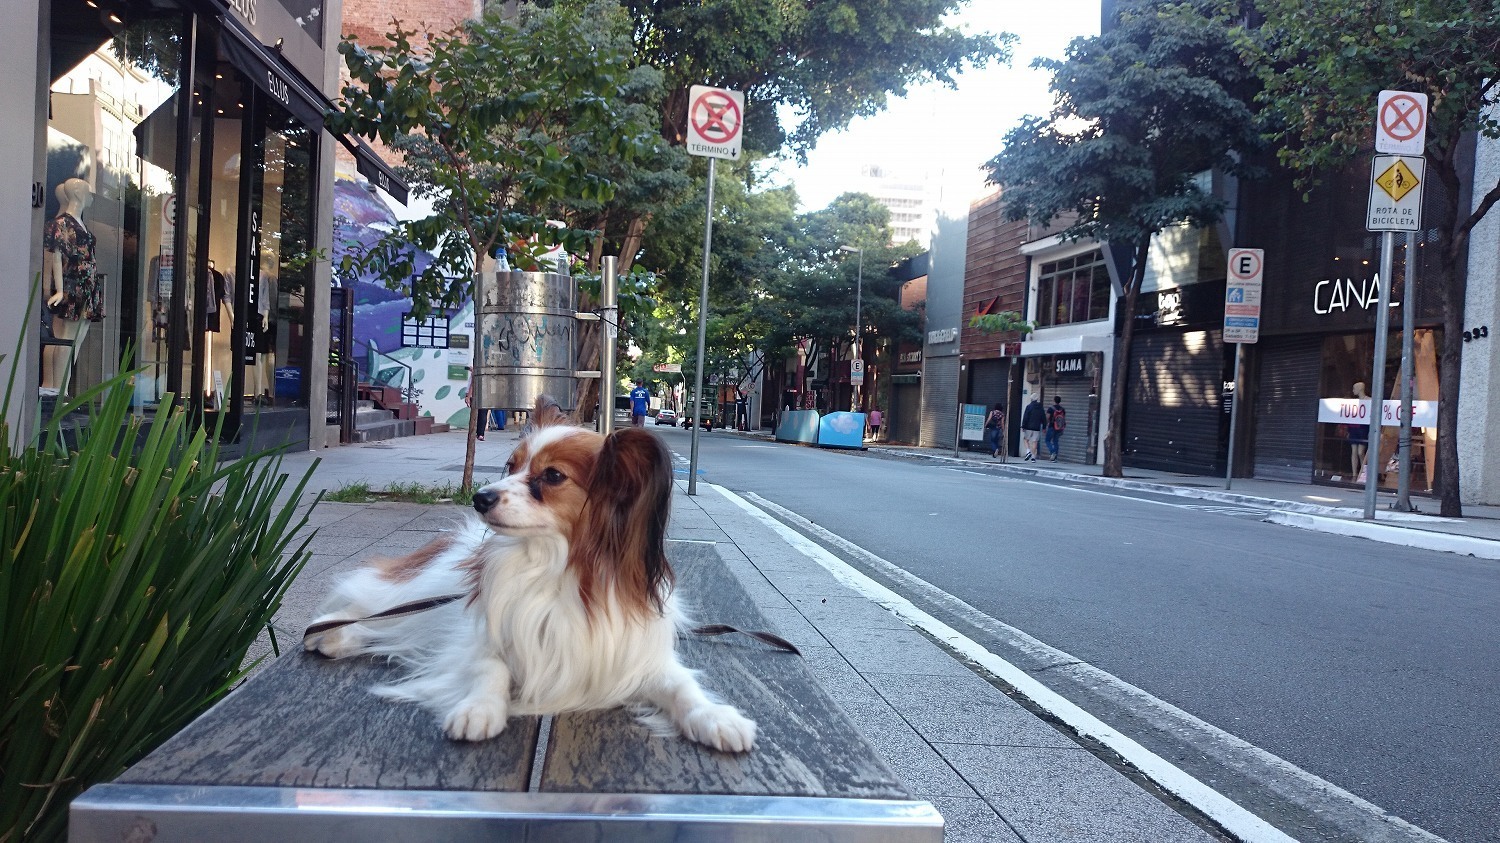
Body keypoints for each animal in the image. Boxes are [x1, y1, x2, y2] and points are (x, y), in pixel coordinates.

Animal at [303, 417, 756, 747]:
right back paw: (329, 630)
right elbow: (490, 670)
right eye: (511, 466)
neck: (556, 570)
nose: (480, 497)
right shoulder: (483, 639)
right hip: (422, 586)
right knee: (377, 604)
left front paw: (715, 717)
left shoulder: (635, 659)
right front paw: (479, 709)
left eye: (552, 476)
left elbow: (682, 686)